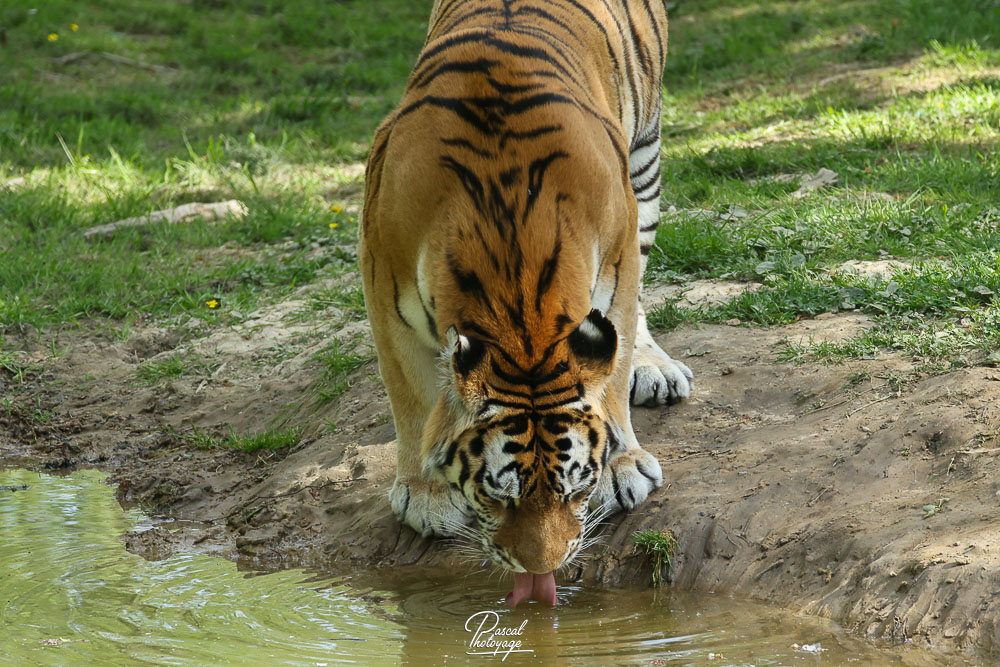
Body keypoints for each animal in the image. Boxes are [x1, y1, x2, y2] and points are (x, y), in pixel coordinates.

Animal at [359, 0, 693, 599]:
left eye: (576, 491)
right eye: (496, 495)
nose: (541, 573)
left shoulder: (619, 253)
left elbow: (614, 365)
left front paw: (622, 467)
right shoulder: (383, 278)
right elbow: (412, 394)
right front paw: (426, 495)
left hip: (646, 161)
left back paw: (655, 369)